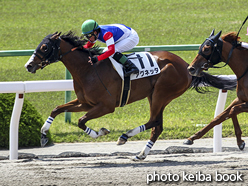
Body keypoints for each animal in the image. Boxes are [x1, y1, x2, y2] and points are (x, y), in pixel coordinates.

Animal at [24, 31, 236, 160]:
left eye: (44, 47)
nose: (29, 65)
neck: (88, 68)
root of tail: (186, 65)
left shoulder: (106, 106)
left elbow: (81, 121)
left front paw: (100, 132)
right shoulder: (85, 102)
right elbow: (57, 109)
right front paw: (43, 135)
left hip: (161, 92)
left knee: (154, 122)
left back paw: (125, 136)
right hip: (156, 95)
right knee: (157, 126)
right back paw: (141, 153)